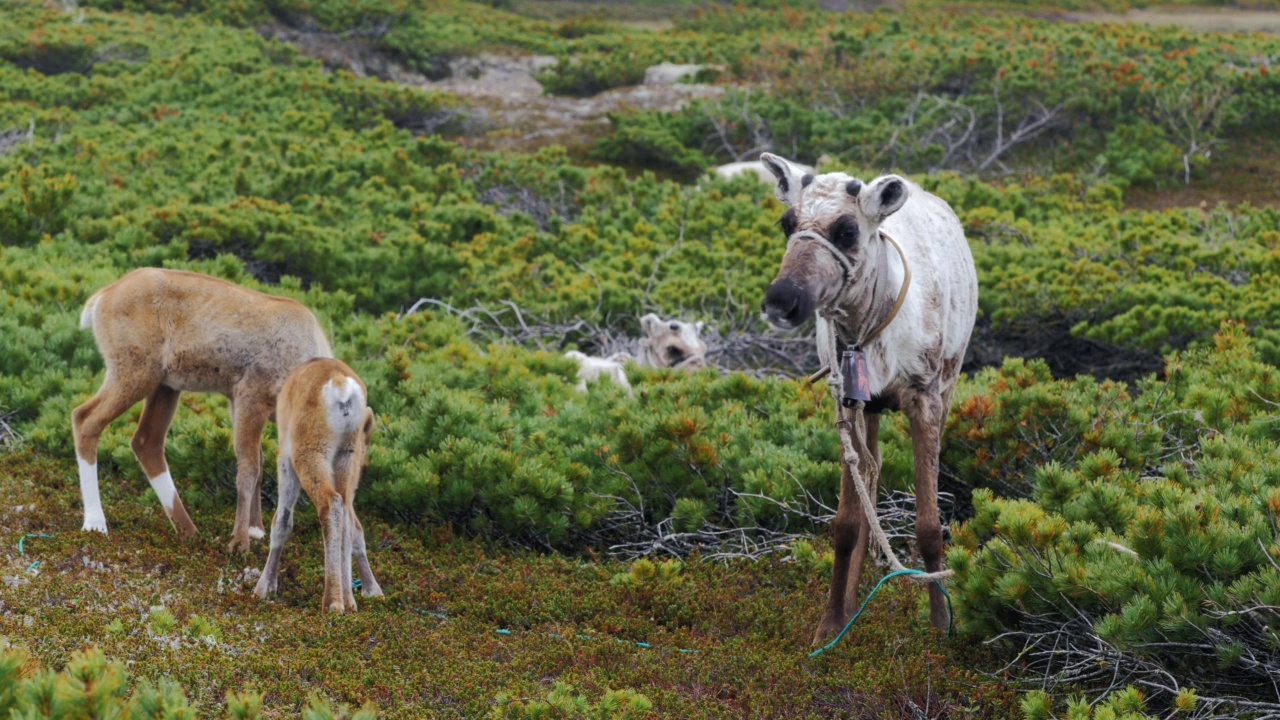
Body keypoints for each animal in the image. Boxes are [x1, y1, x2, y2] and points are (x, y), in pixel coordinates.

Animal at [74, 266, 335, 550]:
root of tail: (100, 298)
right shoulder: (249, 396)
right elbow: (249, 467)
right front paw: (239, 543)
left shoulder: (238, 401)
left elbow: (259, 461)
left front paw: (256, 530)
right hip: (134, 372)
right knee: (85, 419)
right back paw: (95, 523)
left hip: (166, 385)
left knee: (146, 442)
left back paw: (189, 532)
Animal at [253, 358, 381, 609]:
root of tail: (340, 385)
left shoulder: (285, 460)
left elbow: (281, 521)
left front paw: (263, 588)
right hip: (346, 457)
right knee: (347, 515)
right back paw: (349, 600)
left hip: (310, 456)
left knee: (330, 505)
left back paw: (332, 602)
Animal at [752, 151, 972, 638]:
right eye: (786, 222)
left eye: (847, 231)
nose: (781, 301)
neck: (866, 333)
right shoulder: (846, 403)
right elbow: (847, 523)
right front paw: (832, 621)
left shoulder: (925, 398)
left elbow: (930, 524)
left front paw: (941, 623)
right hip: (869, 407)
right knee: (872, 471)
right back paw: (855, 598)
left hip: (950, 379)